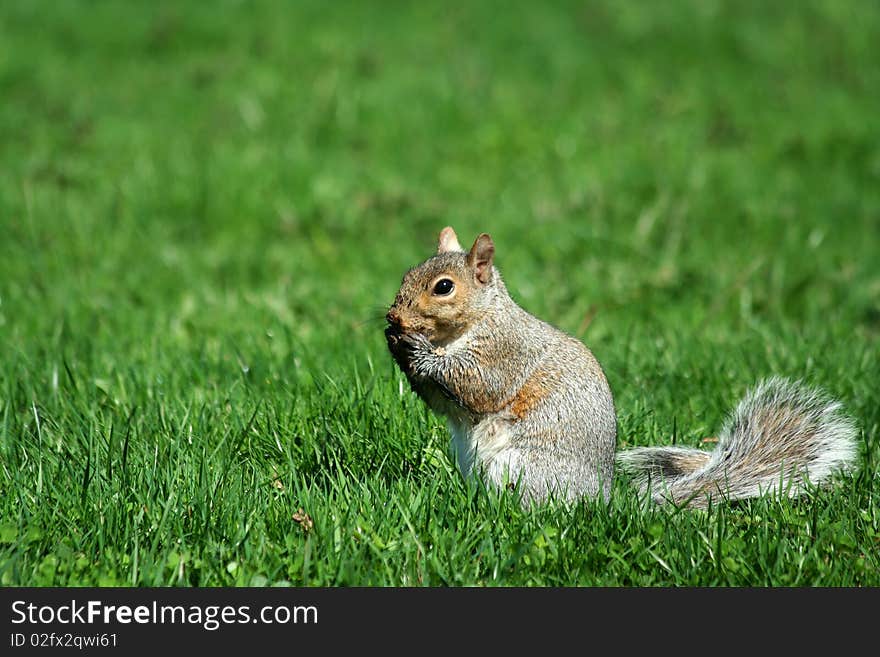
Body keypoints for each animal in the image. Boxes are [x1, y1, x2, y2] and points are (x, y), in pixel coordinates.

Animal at [384, 226, 860, 508]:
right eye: (406, 274)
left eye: (444, 287)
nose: (394, 317)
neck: (476, 321)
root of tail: (601, 504)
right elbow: (447, 403)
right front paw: (396, 343)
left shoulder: (505, 353)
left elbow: (476, 384)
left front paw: (416, 348)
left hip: (523, 467)